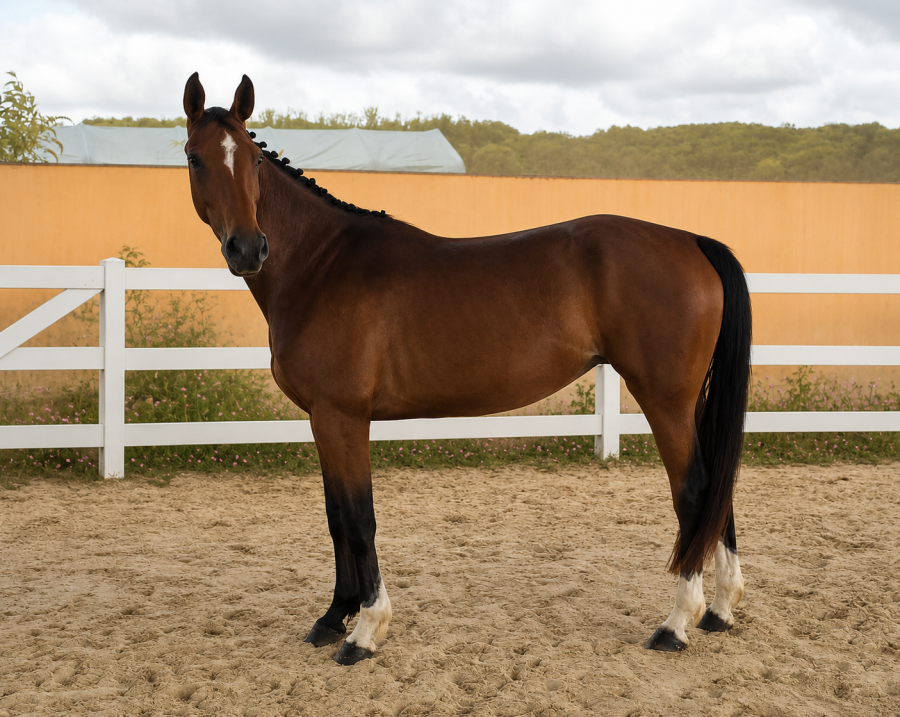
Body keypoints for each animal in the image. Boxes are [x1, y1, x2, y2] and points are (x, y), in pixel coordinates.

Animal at [182, 73, 751, 666]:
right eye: (195, 157)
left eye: (253, 159)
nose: (248, 249)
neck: (322, 265)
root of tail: (691, 242)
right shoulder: (322, 418)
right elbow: (337, 517)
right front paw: (333, 616)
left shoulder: (342, 416)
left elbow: (359, 519)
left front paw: (365, 630)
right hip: (690, 402)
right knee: (718, 489)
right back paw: (719, 610)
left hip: (665, 400)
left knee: (694, 493)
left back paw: (676, 624)